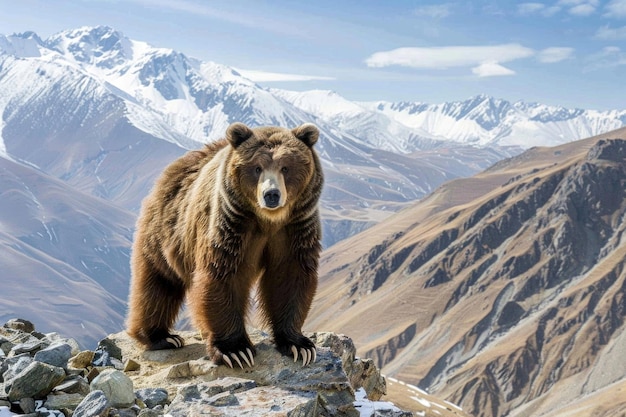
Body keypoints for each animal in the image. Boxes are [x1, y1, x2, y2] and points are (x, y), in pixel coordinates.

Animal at [125, 121, 324, 368]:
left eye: (286, 167)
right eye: (257, 167)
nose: (271, 195)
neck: (267, 221)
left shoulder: (295, 228)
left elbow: (290, 276)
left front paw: (299, 345)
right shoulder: (231, 225)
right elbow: (222, 276)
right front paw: (236, 350)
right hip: (164, 235)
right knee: (157, 284)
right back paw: (161, 337)